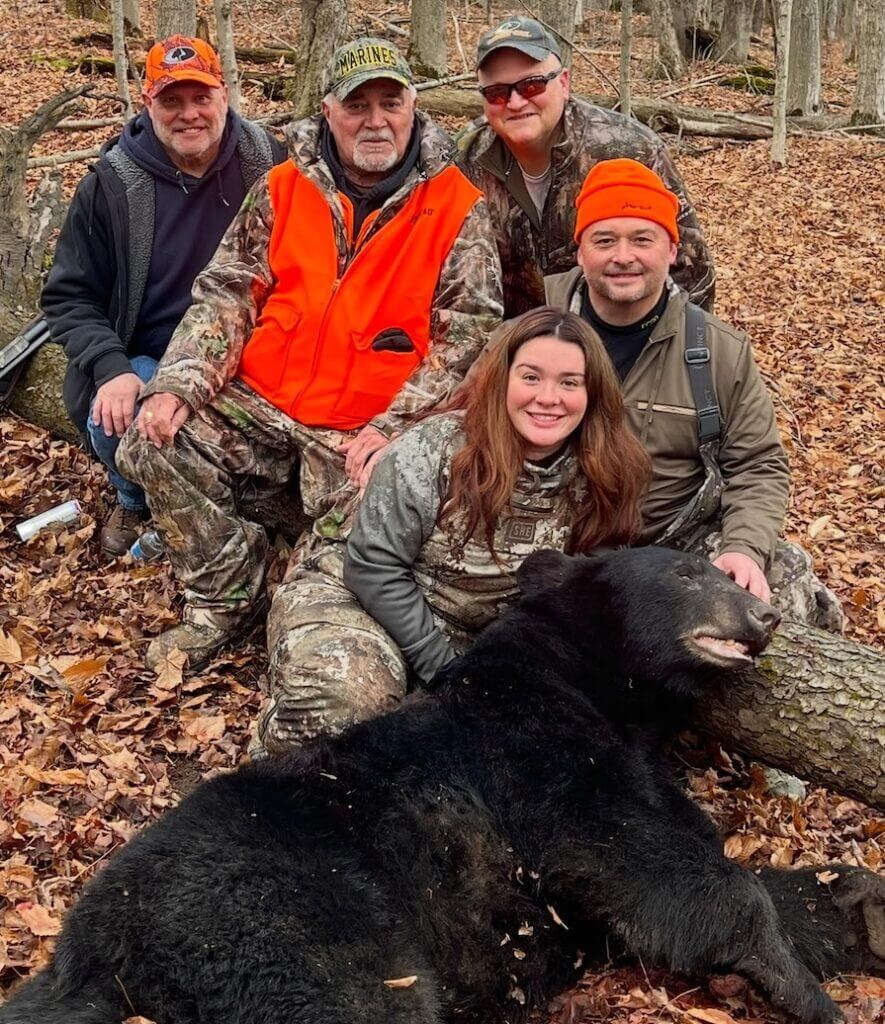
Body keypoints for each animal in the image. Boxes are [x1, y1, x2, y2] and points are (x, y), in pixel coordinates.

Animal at [1, 546, 883, 1024]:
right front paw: (809, 992)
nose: (762, 619)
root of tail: (89, 955)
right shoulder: (532, 755)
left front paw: (860, 903)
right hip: (280, 924)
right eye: (690, 573)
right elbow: (640, 861)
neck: (594, 686)